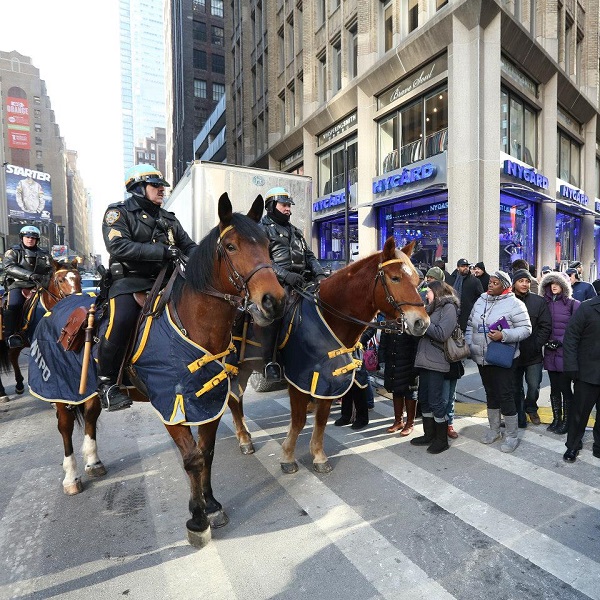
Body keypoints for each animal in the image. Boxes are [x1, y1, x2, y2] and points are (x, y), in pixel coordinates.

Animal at [29, 196, 288, 548]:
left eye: (266, 243)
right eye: (231, 246)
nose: (274, 301)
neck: (194, 325)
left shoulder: (208, 399)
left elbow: (206, 453)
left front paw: (212, 505)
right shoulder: (171, 403)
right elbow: (192, 458)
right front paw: (197, 519)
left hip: (90, 391)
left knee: (91, 419)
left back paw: (94, 461)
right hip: (59, 390)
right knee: (66, 427)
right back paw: (71, 476)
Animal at [230, 238, 432, 474]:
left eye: (417, 280)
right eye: (395, 278)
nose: (422, 323)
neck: (330, 316)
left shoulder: (327, 379)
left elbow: (321, 419)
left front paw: (318, 455)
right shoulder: (300, 379)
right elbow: (299, 420)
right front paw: (288, 456)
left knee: (236, 397)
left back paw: (244, 434)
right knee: (233, 399)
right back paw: (244, 439)